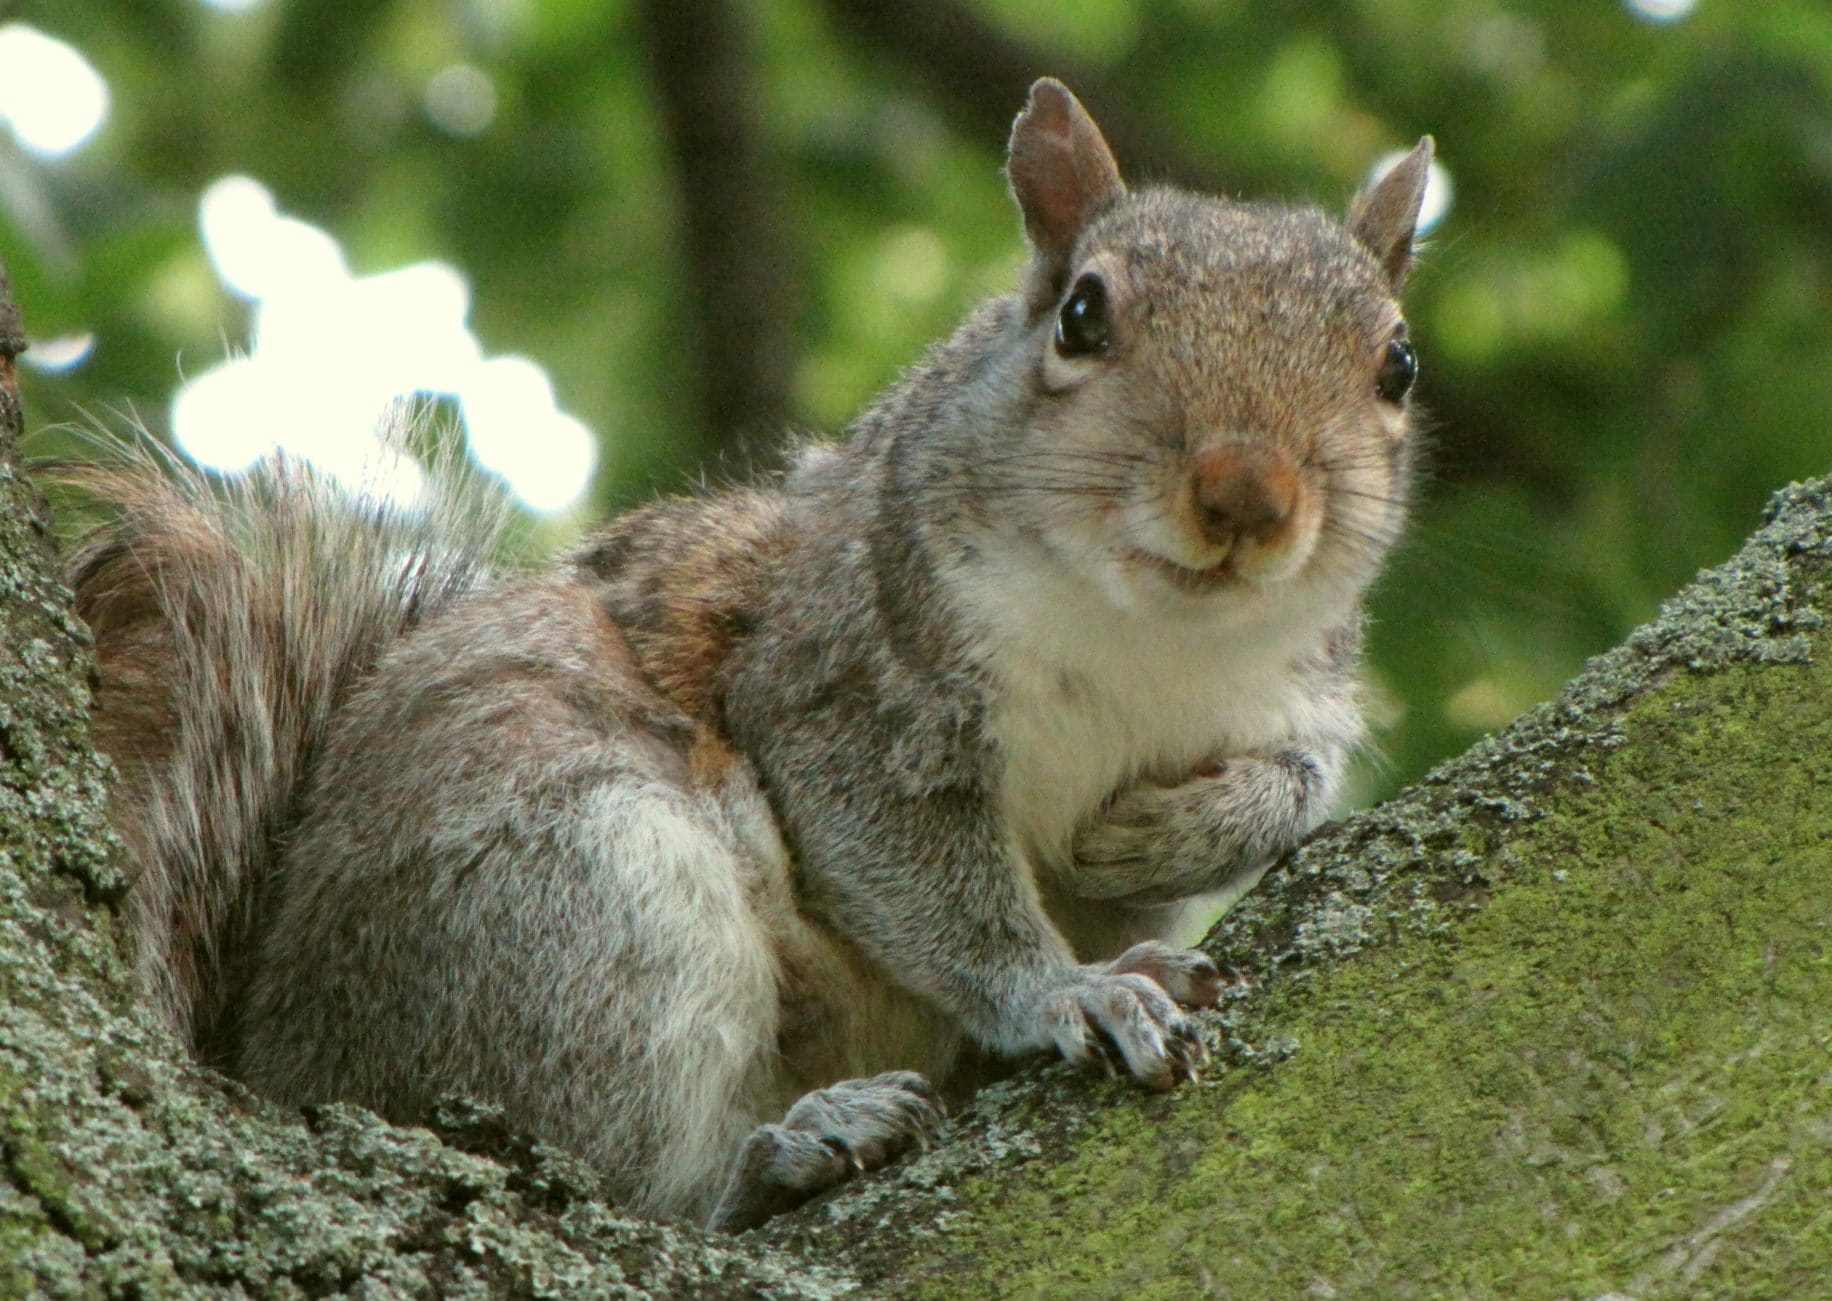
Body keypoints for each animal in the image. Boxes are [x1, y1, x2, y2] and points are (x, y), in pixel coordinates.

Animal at [60, 81, 1428, 1231]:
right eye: (1082, 314)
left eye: (1397, 362)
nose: (1245, 493)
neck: (1147, 637)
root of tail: (280, 1056)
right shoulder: (838, 673)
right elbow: (915, 872)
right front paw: (1058, 990)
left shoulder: (1297, 687)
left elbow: (1293, 781)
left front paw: (1160, 837)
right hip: (573, 896)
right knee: (630, 1171)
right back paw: (788, 1148)